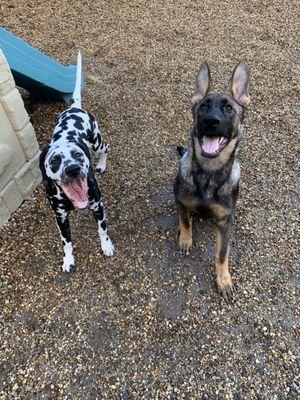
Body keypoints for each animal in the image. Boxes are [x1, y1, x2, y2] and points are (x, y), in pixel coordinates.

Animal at [39, 52, 114, 272]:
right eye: (54, 161)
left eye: (78, 155)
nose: (72, 169)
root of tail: (74, 108)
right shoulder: (60, 218)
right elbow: (67, 242)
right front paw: (68, 259)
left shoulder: (98, 206)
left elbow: (102, 230)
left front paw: (106, 246)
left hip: (97, 142)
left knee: (106, 148)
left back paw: (102, 164)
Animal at [172, 61, 250, 298]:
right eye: (203, 106)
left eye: (228, 108)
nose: (210, 121)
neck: (208, 173)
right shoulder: (182, 202)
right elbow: (185, 222)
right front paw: (185, 240)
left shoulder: (224, 223)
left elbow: (222, 254)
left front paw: (223, 280)